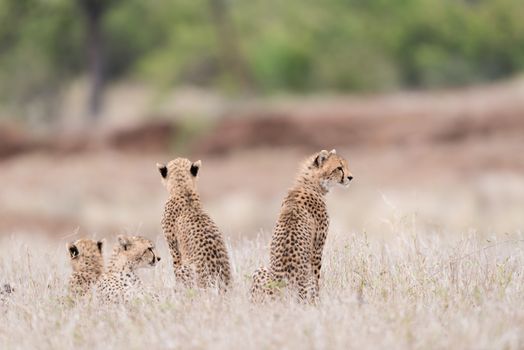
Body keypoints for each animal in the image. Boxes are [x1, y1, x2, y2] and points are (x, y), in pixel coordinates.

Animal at [250, 149, 352, 302]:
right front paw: (319, 301)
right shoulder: (317, 248)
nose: (351, 177)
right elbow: (317, 278)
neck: (310, 183)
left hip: (258, 271)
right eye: (339, 168)